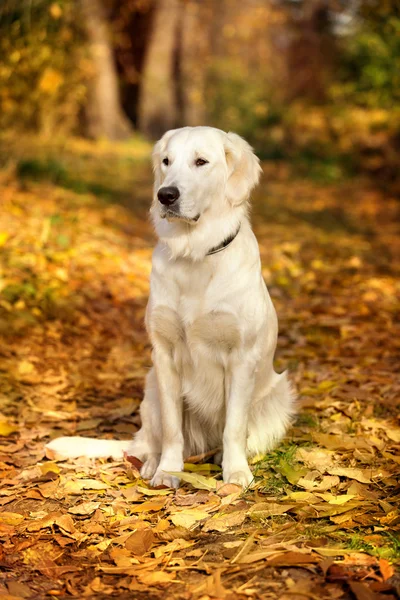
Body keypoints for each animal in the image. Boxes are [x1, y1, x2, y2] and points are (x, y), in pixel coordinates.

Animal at [47, 126, 296, 488]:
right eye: (166, 161)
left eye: (201, 161)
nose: (165, 195)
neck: (195, 253)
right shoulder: (164, 355)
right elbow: (171, 428)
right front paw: (167, 470)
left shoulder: (241, 357)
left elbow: (234, 427)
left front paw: (235, 472)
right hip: (150, 389)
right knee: (145, 443)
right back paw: (150, 462)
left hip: (278, 397)